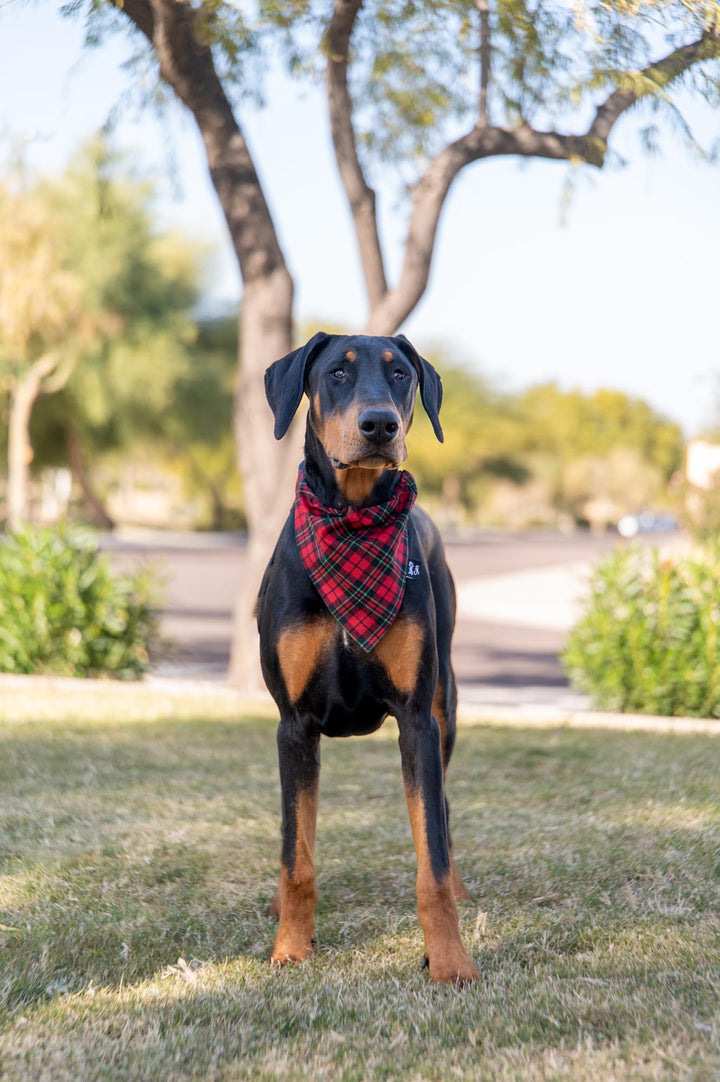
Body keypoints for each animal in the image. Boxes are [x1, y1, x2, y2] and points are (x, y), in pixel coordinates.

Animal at [256, 333, 476, 986]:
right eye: (336, 373)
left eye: (401, 373)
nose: (379, 424)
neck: (353, 523)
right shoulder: (294, 725)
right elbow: (296, 855)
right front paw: (290, 949)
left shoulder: (416, 720)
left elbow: (431, 857)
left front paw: (450, 961)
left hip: (446, 704)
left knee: (443, 809)